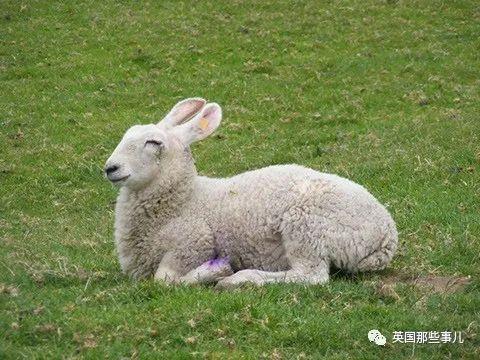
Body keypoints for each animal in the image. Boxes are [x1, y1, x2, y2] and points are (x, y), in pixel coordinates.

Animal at [105, 98, 398, 290]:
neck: (185, 199)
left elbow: (164, 281)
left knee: (310, 275)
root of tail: (387, 234)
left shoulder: (192, 243)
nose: (110, 168)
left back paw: (240, 279)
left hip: (307, 227)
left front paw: (214, 271)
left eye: (154, 143)